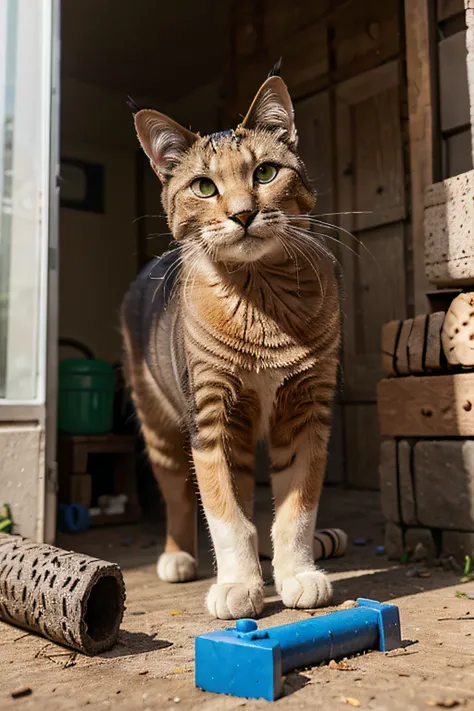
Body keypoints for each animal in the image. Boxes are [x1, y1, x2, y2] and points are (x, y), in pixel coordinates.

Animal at [121, 69, 340, 620]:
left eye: (265, 172)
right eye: (203, 186)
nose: (243, 214)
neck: (259, 299)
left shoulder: (308, 410)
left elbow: (296, 507)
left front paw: (297, 573)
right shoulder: (211, 418)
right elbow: (224, 514)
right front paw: (238, 584)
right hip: (160, 431)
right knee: (181, 500)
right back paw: (179, 557)